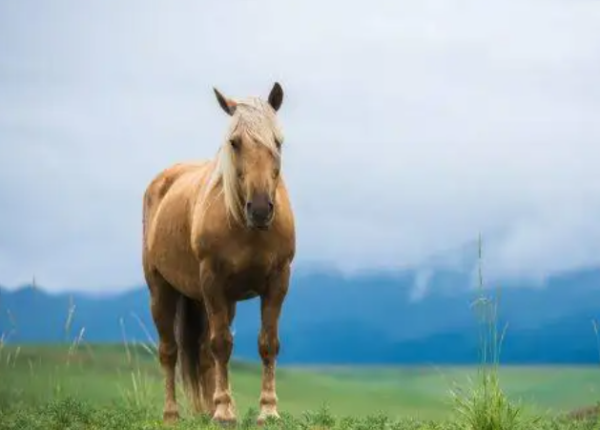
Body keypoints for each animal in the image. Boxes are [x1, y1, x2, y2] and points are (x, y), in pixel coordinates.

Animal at [144, 82, 298, 424]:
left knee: (201, 352)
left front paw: (268, 411)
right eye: (234, 142)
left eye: (277, 141)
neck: (246, 227)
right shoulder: (211, 280)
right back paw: (172, 414)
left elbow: (268, 343)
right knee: (169, 351)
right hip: (163, 289)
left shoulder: (278, 280)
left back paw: (205, 410)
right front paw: (225, 412)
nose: (260, 209)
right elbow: (221, 344)